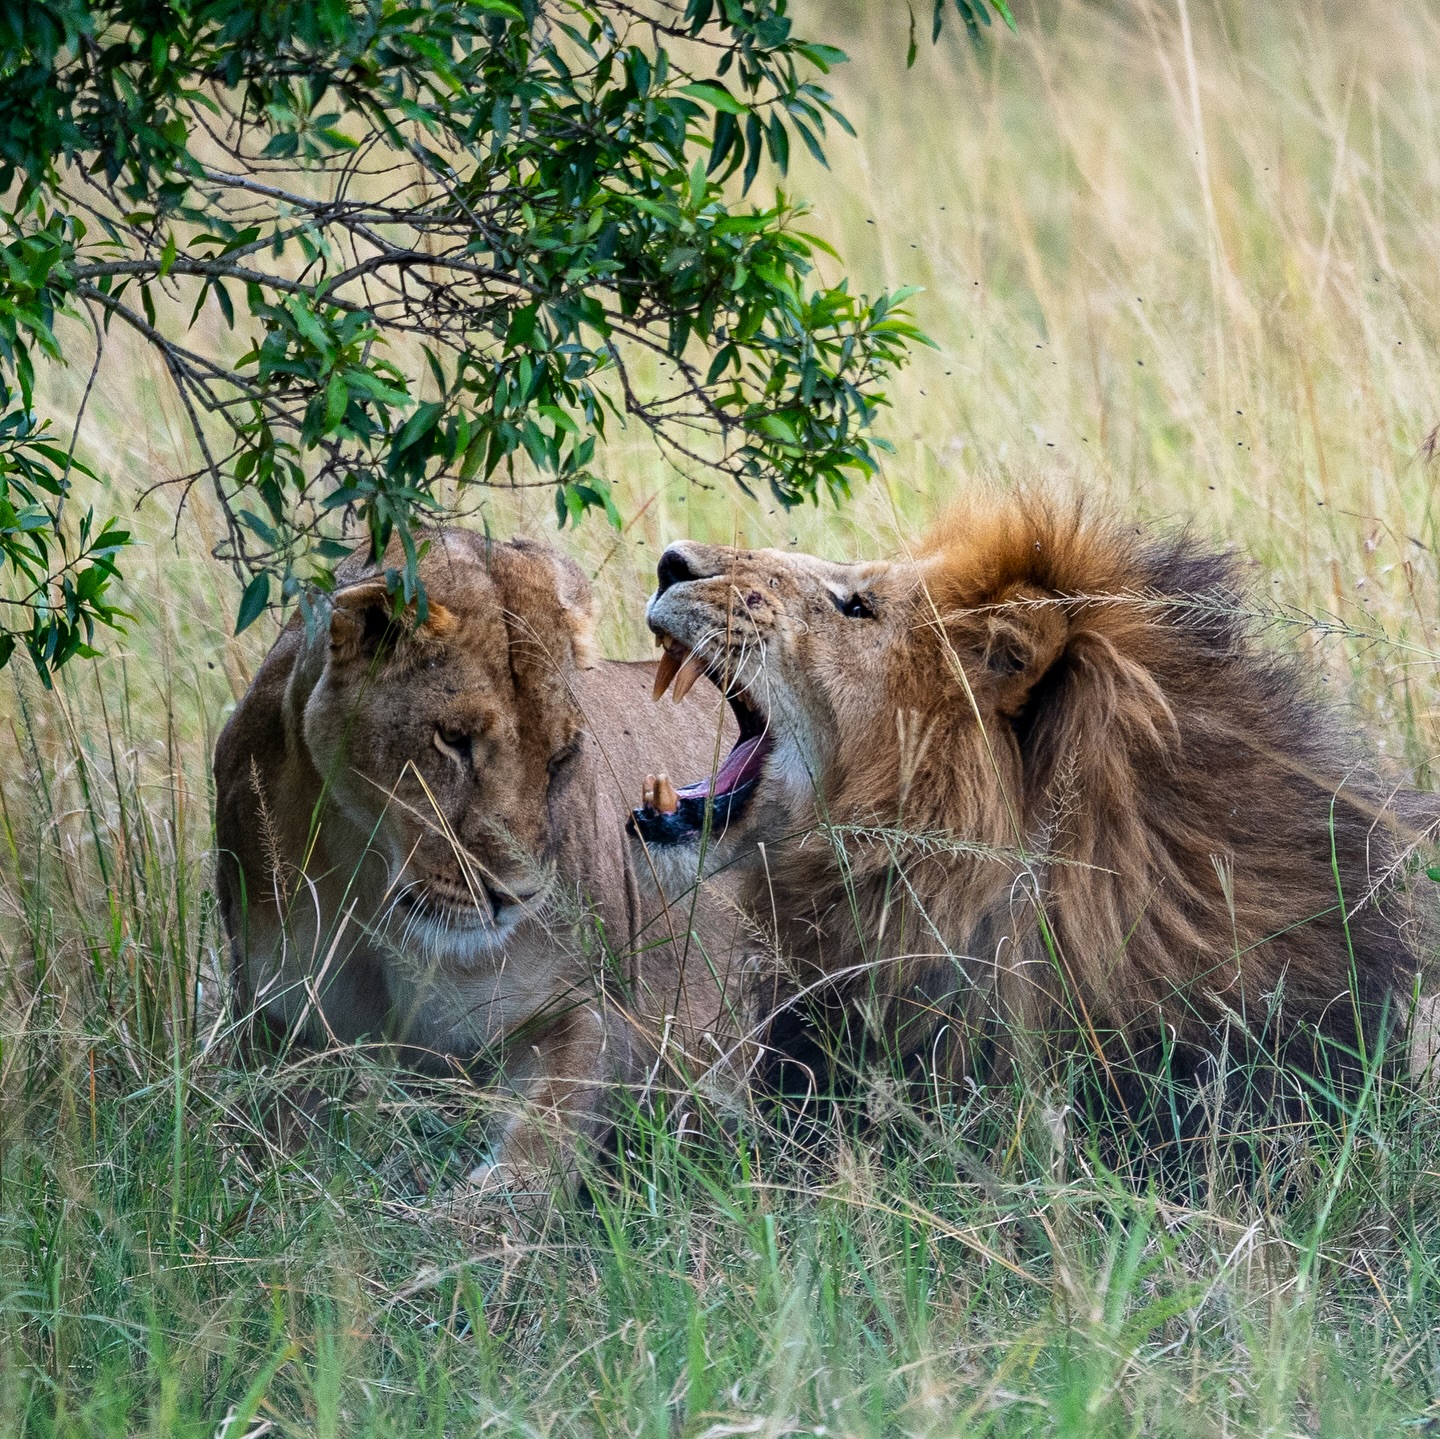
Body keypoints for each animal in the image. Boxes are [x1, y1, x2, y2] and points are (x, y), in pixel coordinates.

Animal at [213, 528, 754, 1196]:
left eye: (562, 756)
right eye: (452, 739)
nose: (516, 896)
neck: (370, 879)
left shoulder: (587, 1012)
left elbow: (534, 1156)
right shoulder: (282, 1027)